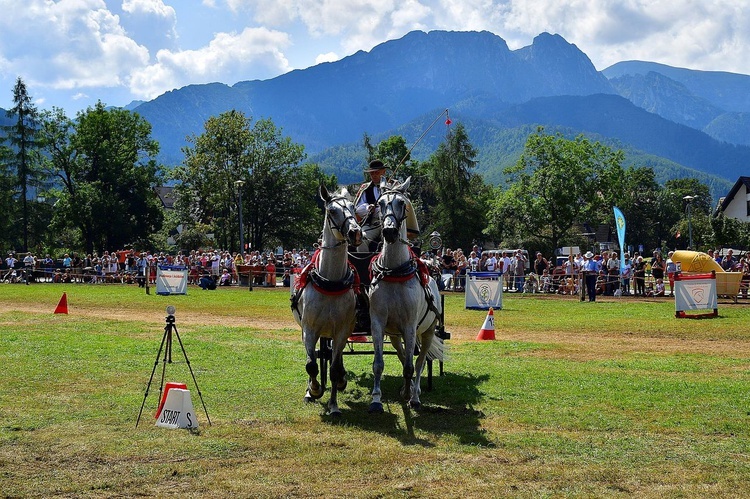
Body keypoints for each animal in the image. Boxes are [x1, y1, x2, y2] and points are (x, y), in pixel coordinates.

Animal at [292, 186, 362, 416]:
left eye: (353, 208)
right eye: (332, 211)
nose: (356, 232)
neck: (330, 281)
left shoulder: (342, 330)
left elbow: (333, 368)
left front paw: (334, 404)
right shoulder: (309, 329)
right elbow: (311, 365)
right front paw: (313, 389)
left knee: (334, 358)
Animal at [370, 178, 446, 412]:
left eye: (402, 203)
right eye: (380, 203)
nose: (389, 232)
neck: (394, 271)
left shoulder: (411, 326)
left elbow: (412, 366)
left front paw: (410, 394)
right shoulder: (378, 323)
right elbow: (379, 364)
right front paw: (376, 400)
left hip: (427, 331)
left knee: (420, 361)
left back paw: (415, 395)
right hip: (396, 334)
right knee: (404, 355)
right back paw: (408, 388)